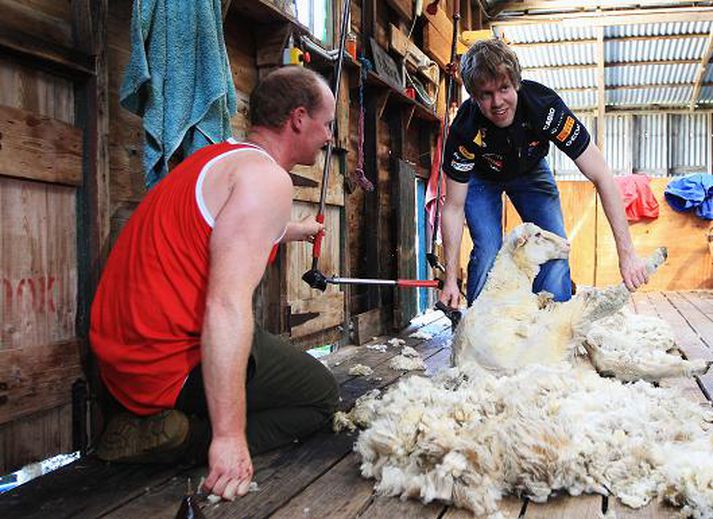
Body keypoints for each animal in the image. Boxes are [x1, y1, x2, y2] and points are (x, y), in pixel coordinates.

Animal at [450, 222, 708, 382]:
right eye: (537, 235)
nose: (567, 244)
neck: (506, 287)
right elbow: (607, 298)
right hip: (564, 325)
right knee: (607, 308)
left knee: (611, 362)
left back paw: (697, 365)